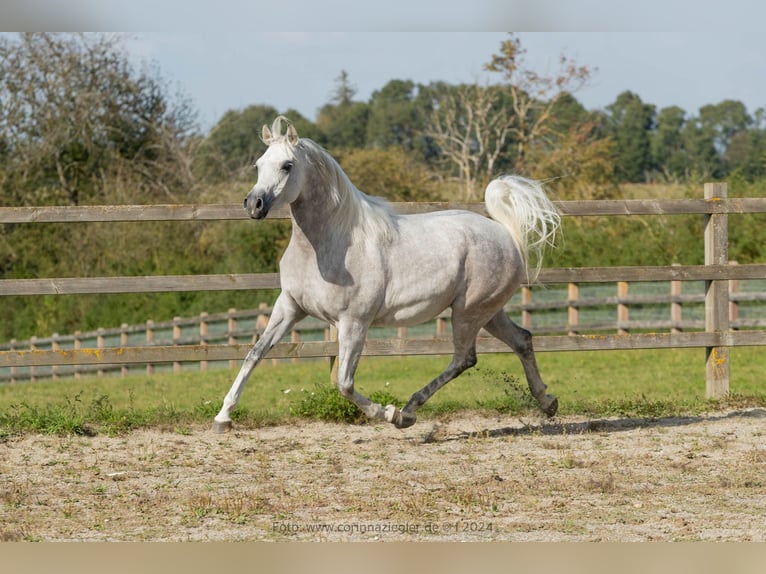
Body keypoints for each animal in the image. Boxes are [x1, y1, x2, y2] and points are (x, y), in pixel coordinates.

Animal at [213, 116, 561, 433]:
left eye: (287, 165)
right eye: (258, 164)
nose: (254, 204)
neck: (327, 245)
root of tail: (506, 233)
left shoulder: (353, 322)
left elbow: (344, 383)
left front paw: (390, 414)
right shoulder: (289, 307)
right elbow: (254, 354)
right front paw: (223, 417)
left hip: (468, 311)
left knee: (465, 358)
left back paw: (409, 410)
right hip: (488, 311)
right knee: (522, 340)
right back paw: (548, 403)